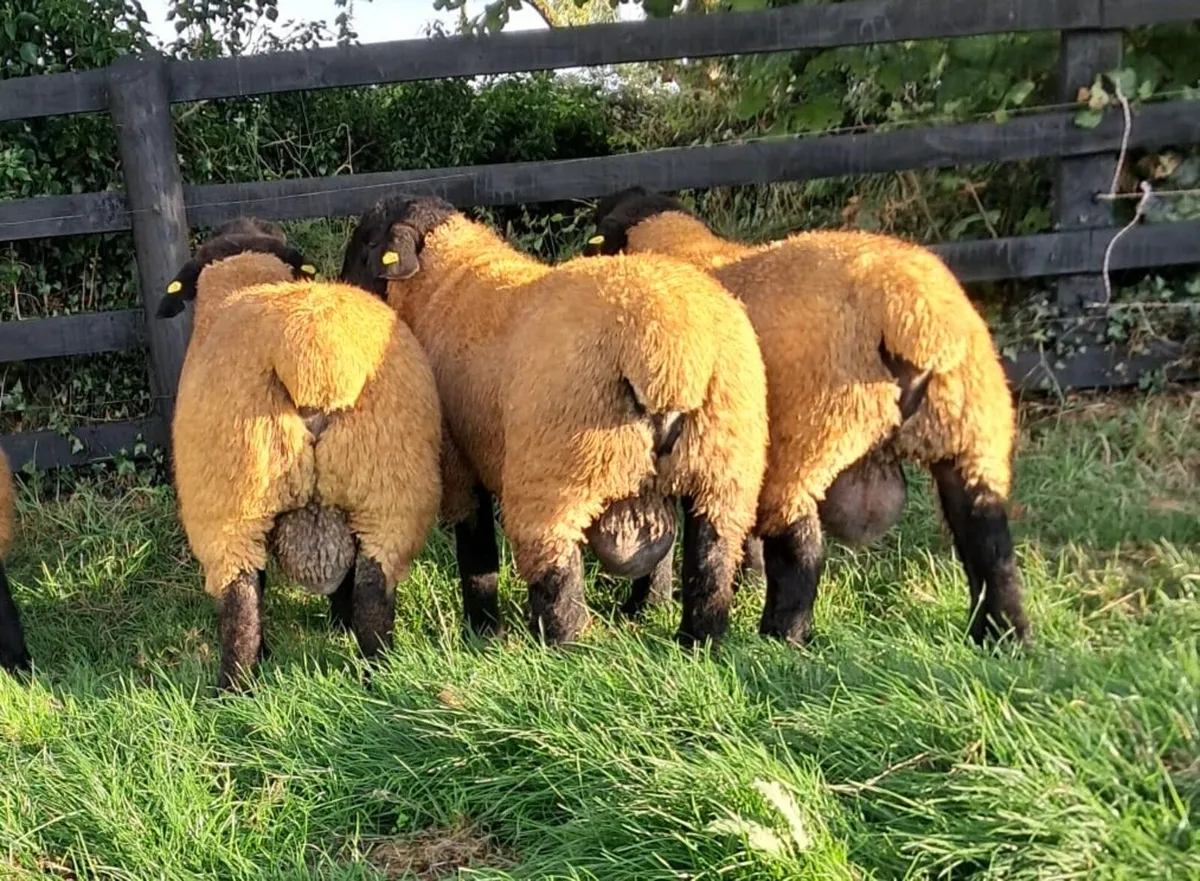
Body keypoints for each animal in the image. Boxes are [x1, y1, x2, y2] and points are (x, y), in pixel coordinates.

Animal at [157, 217, 442, 690]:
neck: (243, 276)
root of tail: (314, 353)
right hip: (389, 491)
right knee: (371, 593)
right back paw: (378, 677)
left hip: (231, 503)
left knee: (241, 604)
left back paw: (234, 691)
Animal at [340, 194, 767, 648]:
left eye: (367, 244)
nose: (345, 289)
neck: (445, 285)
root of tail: (668, 353)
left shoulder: (458, 461)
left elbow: (476, 551)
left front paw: (483, 630)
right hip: (721, 466)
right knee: (711, 559)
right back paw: (693, 640)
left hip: (560, 468)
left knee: (557, 567)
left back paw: (563, 645)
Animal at [586, 188, 1028, 648]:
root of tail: (913, 315)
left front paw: (643, 607)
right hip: (970, 433)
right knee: (990, 544)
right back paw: (1003, 639)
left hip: (813, 436)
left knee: (802, 549)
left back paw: (783, 637)